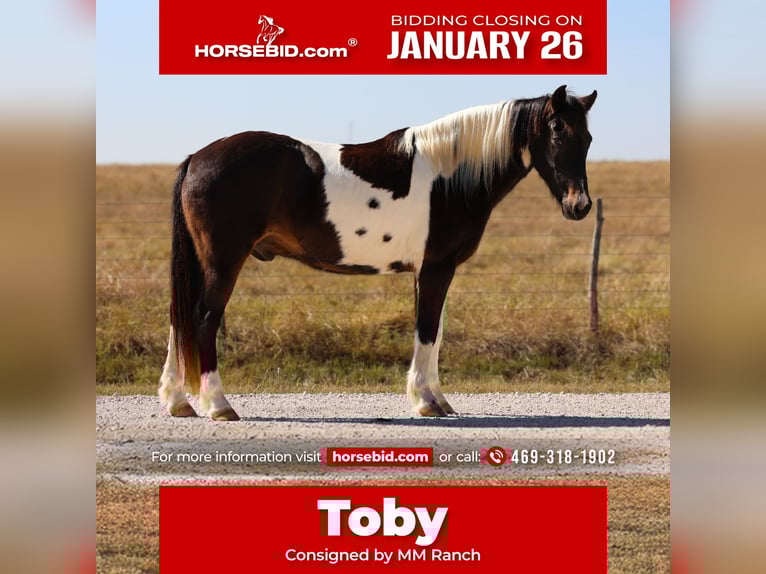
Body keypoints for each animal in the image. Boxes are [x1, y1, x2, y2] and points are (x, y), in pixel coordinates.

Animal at [158, 85, 597, 421]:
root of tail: (197, 158)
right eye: (557, 132)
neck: (449, 176)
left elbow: (436, 331)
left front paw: (438, 399)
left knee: (179, 319)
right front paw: (426, 401)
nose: (579, 206)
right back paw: (219, 405)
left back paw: (179, 401)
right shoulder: (436, 268)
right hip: (223, 260)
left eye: (588, 139)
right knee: (203, 318)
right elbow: (426, 330)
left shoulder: (430, 271)